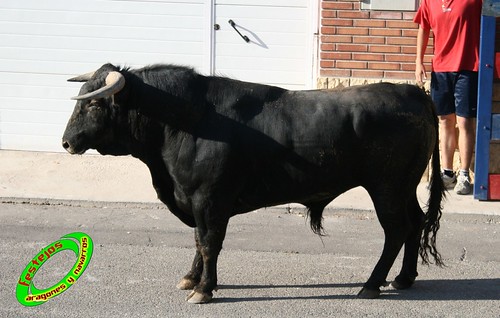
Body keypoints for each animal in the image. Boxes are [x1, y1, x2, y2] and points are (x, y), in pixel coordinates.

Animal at [63, 62, 446, 304]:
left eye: (95, 104)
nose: (66, 142)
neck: (186, 120)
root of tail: (413, 93)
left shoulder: (209, 200)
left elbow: (209, 243)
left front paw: (204, 289)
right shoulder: (196, 200)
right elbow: (198, 240)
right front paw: (191, 278)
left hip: (386, 187)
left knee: (396, 230)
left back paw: (371, 284)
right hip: (404, 186)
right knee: (415, 223)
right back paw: (404, 278)